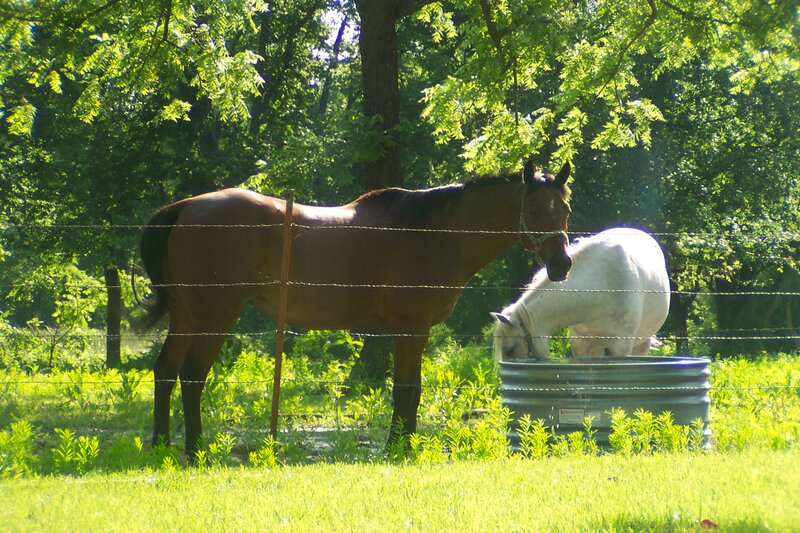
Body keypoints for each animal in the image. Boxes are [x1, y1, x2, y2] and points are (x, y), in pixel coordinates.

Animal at [138, 161, 573, 457]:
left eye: (565, 209)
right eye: (535, 210)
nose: (561, 264)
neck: (433, 233)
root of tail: (185, 208)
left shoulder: (412, 331)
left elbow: (410, 390)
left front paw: (403, 445)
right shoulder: (410, 329)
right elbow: (407, 389)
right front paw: (399, 448)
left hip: (186, 318)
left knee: (166, 371)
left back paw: (161, 445)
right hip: (214, 317)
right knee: (192, 376)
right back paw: (196, 449)